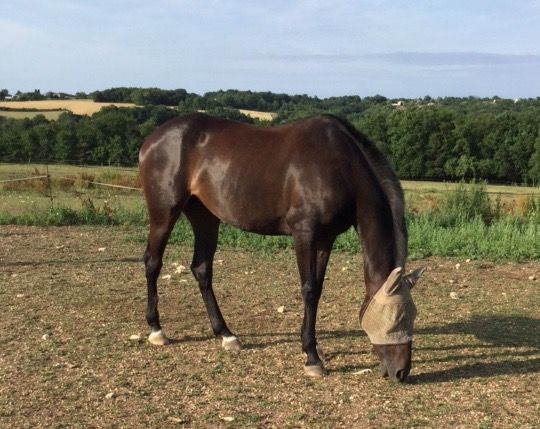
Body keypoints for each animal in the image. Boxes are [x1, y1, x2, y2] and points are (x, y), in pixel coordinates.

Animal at [137, 111, 424, 382]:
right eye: (395, 316)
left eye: (414, 315)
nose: (401, 371)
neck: (339, 164)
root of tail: (152, 139)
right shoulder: (304, 234)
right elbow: (309, 290)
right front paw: (312, 358)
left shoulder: (325, 239)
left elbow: (318, 290)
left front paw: (310, 347)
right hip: (164, 213)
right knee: (153, 262)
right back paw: (157, 330)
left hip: (204, 216)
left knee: (201, 268)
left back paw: (226, 335)